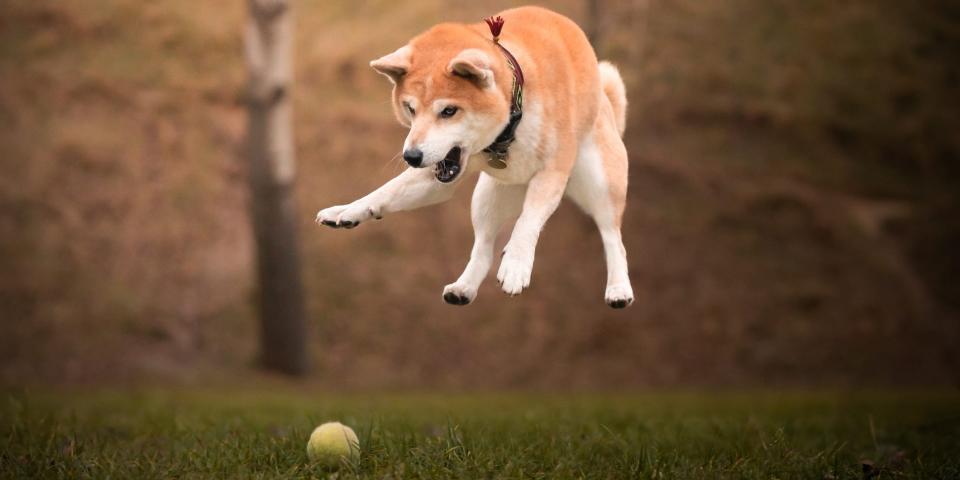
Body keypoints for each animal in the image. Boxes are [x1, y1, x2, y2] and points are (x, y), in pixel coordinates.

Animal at [318, 5, 632, 310]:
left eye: (449, 111)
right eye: (410, 109)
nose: (411, 156)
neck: (510, 120)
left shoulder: (552, 171)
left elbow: (528, 221)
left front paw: (516, 264)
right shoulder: (436, 173)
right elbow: (387, 191)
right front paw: (350, 209)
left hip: (599, 183)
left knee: (612, 236)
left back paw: (618, 289)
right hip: (488, 197)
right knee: (483, 247)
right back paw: (463, 288)